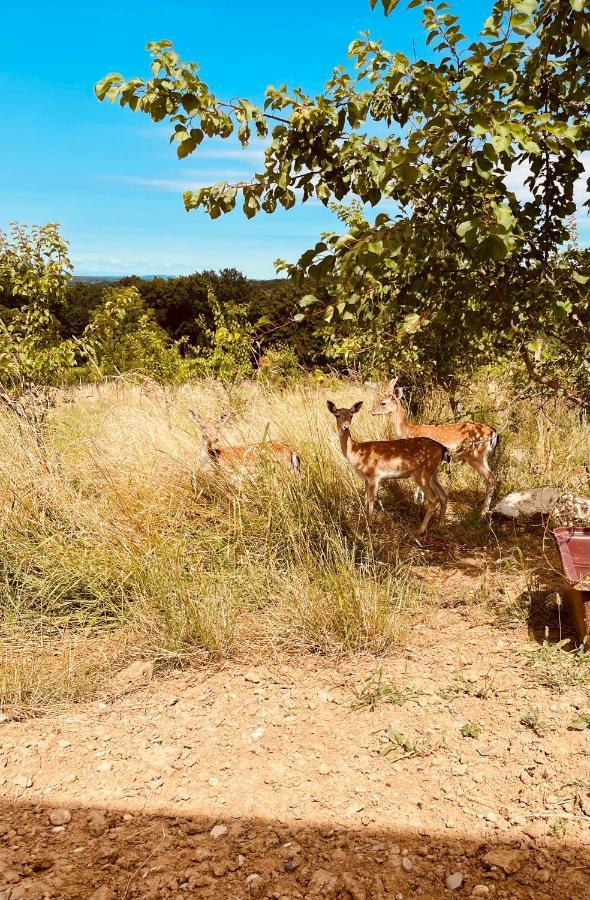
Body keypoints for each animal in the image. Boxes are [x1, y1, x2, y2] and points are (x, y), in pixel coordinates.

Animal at [328, 400, 448, 536]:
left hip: (422, 473)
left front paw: (369, 525)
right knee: (443, 495)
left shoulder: (374, 475)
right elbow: (365, 498)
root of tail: (442, 448)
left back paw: (419, 530)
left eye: (351, 415)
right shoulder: (366, 478)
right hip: (433, 473)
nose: (346, 426)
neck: (357, 453)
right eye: (337, 415)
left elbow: (371, 499)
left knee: (433, 498)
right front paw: (364, 521)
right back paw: (440, 525)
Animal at [374, 380, 500, 512]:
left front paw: (418, 501)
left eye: (383, 402)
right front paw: (421, 501)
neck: (408, 431)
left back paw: (483, 511)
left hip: (476, 457)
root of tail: (494, 432)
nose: (372, 411)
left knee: (491, 479)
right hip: (482, 458)